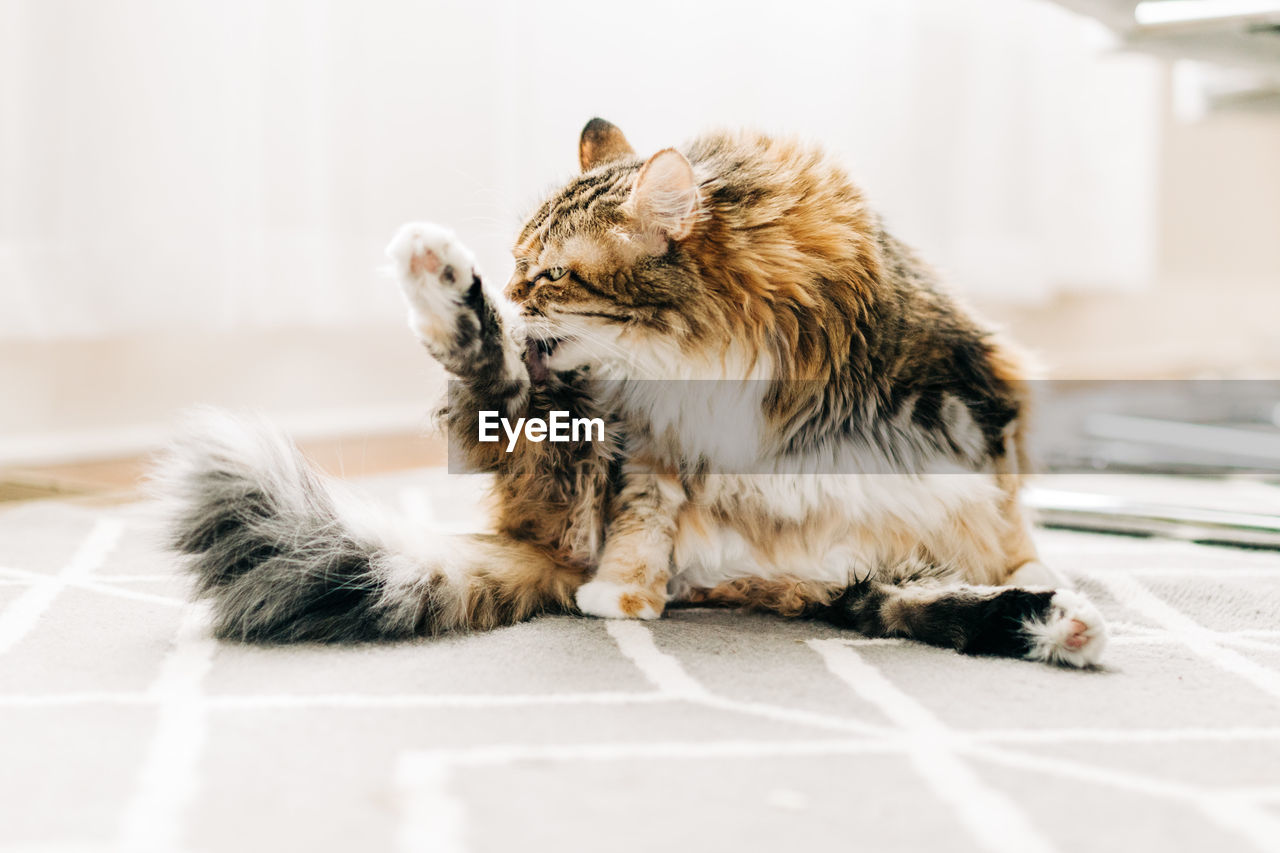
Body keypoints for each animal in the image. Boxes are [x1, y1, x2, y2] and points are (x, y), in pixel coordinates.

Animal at [154, 117, 1105, 666]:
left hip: (855, 560)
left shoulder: (967, 388)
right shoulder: (651, 439)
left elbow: (1003, 509)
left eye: (548, 273)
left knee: (903, 601)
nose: (512, 290)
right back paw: (438, 278)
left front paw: (1033, 564)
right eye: (518, 263)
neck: (717, 358)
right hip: (565, 452)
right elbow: (645, 517)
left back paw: (1054, 618)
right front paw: (624, 592)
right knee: (496, 392)